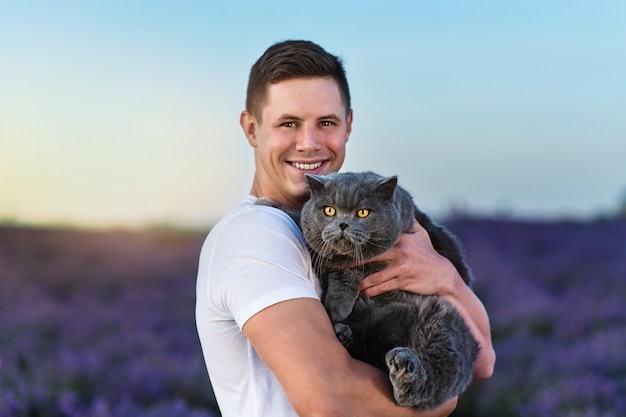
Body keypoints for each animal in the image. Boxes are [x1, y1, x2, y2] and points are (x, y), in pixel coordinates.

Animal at [254, 171, 478, 408]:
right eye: (329, 210)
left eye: (363, 212)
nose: (343, 224)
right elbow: (310, 232)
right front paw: (267, 202)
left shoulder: (389, 250)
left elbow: (352, 266)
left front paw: (338, 305)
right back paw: (343, 333)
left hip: (442, 323)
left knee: (429, 380)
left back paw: (403, 370)